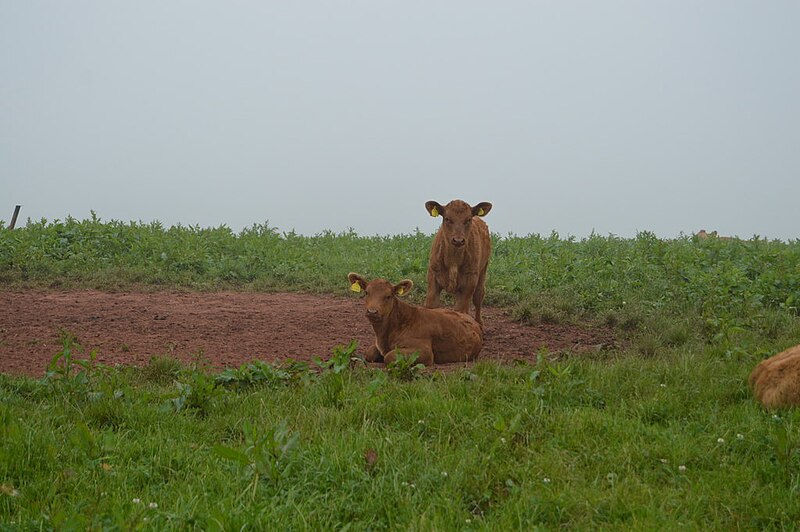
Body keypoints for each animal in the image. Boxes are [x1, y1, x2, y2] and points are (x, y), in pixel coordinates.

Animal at [348, 274, 482, 366]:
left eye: (388, 296)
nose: (372, 311)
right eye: (366, 293)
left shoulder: (424, 352)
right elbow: (369, 353)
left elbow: (389, 356)